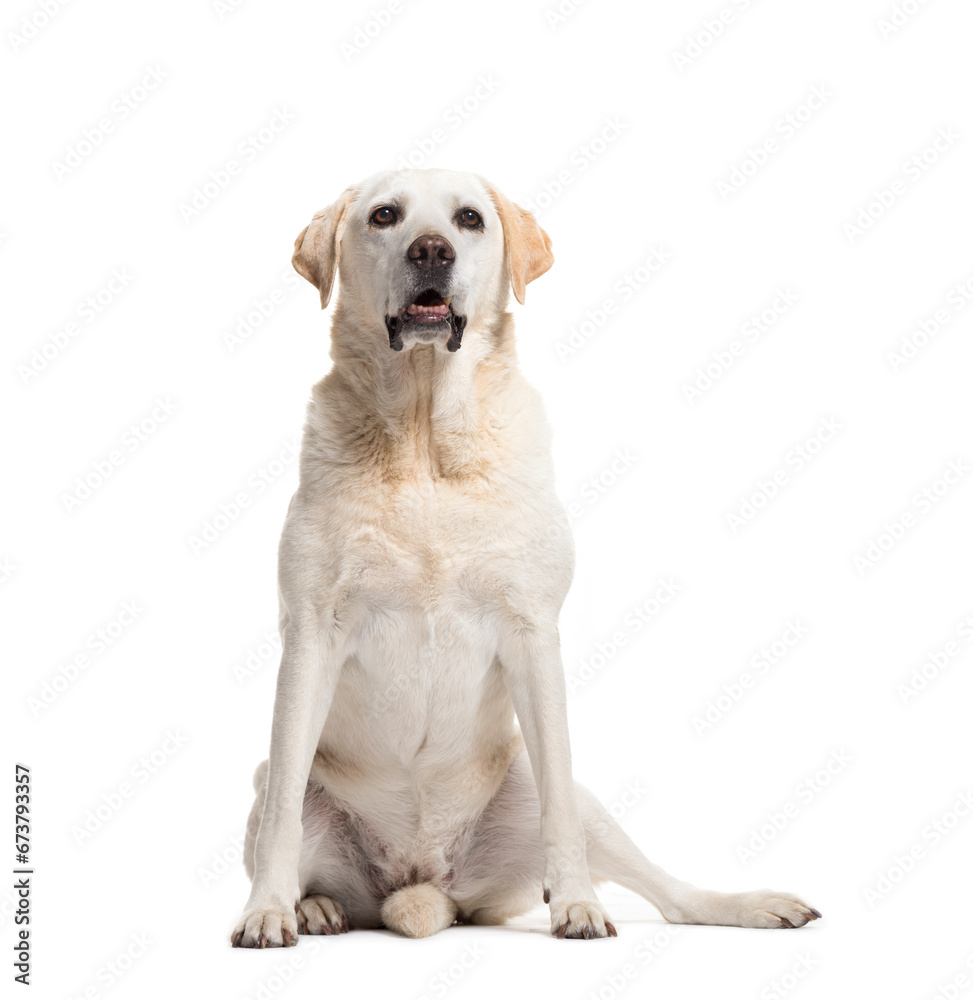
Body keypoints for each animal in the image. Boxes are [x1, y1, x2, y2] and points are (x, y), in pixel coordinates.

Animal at [230, 166, 820, 944]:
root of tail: (426, 883)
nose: (430, 250)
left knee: (662, 890)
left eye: (468, 219)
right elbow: (282, 823)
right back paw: (314, 907)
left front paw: (576, 904)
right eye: (384, 215)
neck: (424, 442)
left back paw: (742, 904)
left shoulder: (533, 632)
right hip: (274, 784)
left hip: (554, 793)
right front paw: (267, 910)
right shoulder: (310, 635)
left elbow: (561, 814)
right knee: (292, 817)